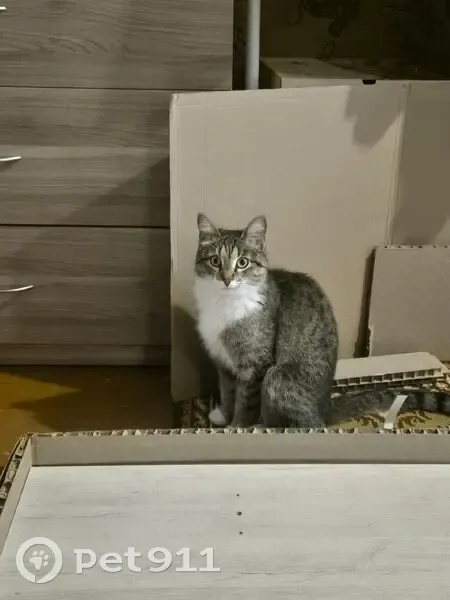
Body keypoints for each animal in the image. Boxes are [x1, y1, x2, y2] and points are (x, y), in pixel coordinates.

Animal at [193, 212, 450, 428]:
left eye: (242, 263)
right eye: (215, 261)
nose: (226, 279)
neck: (224, 303)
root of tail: (325, 407)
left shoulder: (254, 366)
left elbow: (245, 403)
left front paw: (236, 427)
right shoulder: (223, 363)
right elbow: (228, 393)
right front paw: (223, 415)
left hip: (278, 377)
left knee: (304, 424)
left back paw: (264, 426)